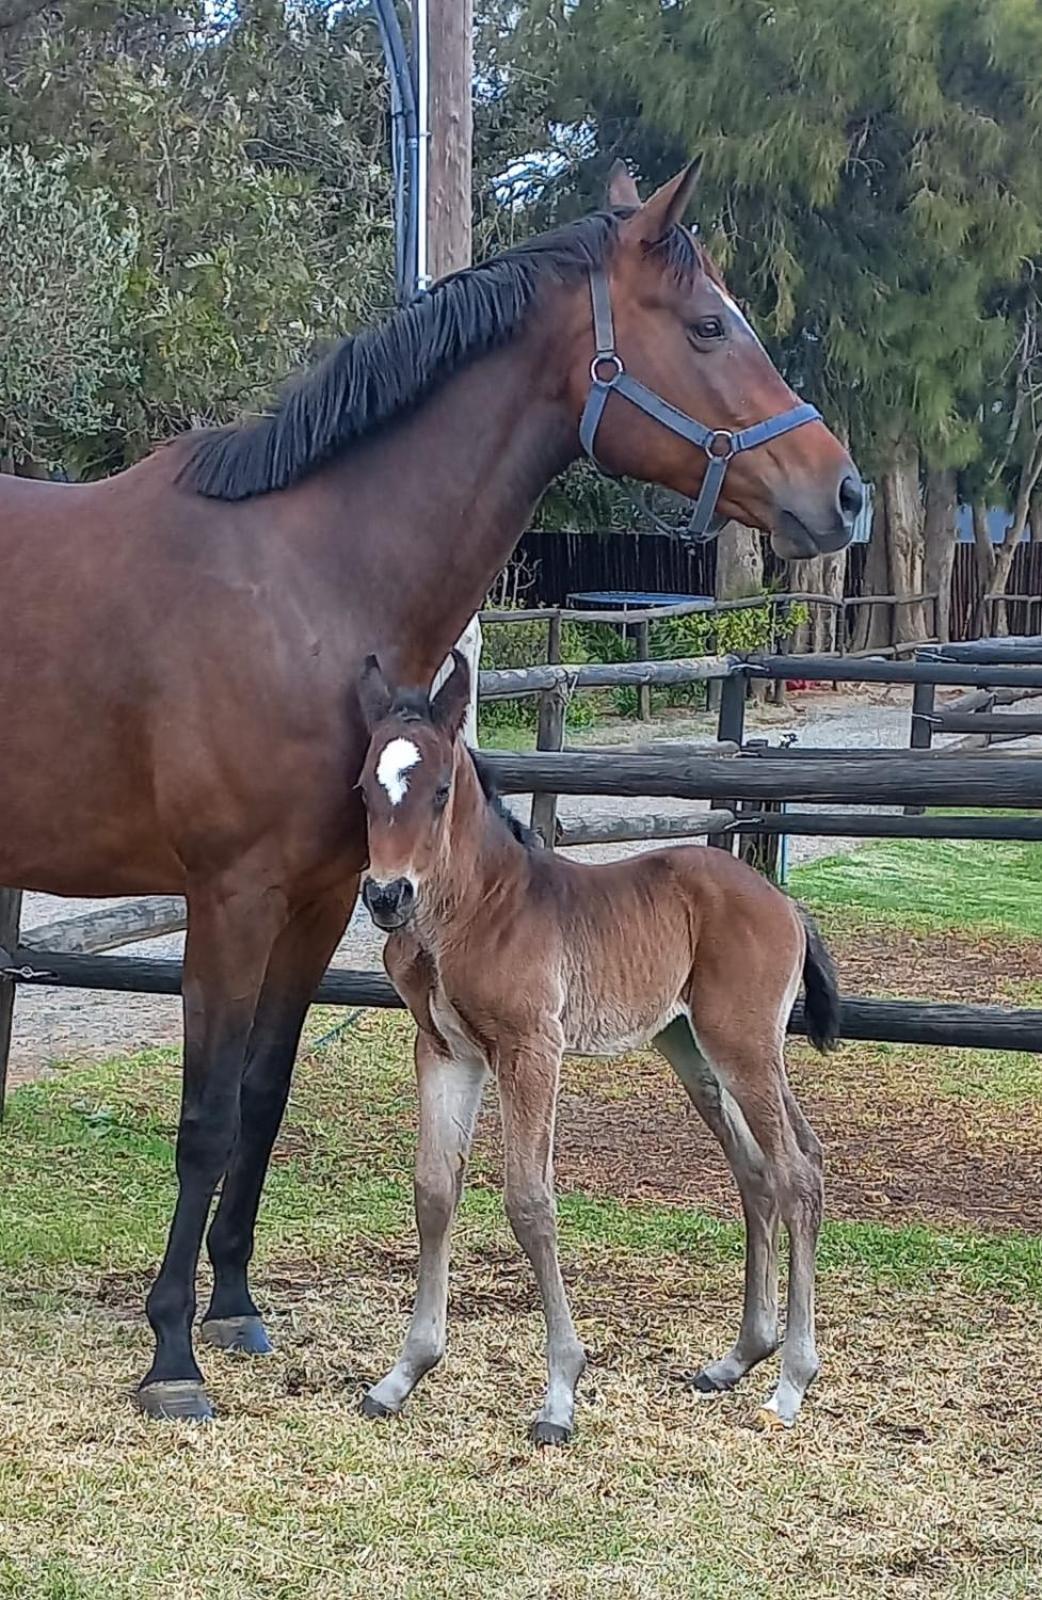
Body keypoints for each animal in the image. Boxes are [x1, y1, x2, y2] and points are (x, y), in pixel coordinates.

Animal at [356, 649, 838, 1440]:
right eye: (366, 789)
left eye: (440, 790)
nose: (386, 896)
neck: (473, 911)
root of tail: (782, 899)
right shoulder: (445, 1051)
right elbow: (433, 1190)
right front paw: (403, 1375)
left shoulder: (530, 1049)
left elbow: (529, 1201)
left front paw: (559, 1393)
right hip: (691, 1048)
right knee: (761, 1169)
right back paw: (739, 1358)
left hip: (741, 1043)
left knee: (796, 1171)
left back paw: (791, 1382)